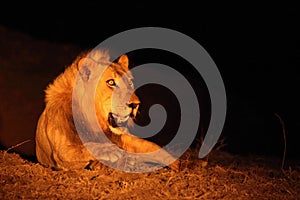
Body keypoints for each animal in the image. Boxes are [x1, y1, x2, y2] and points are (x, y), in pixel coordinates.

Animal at [35, 49, 180, 171]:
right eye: (111, 82)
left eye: (130, 83)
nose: (135, 104)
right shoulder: (60, 154)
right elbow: (85, 147)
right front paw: (109, 151)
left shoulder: (125, 139)